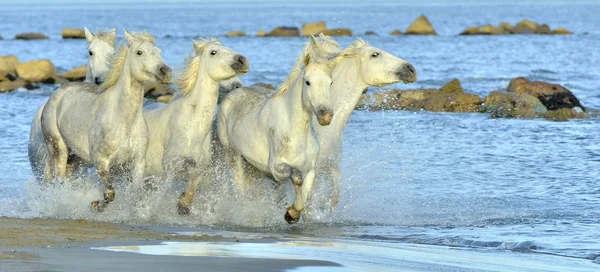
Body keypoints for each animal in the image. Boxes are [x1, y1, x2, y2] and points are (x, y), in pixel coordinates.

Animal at [41, 30, 171, 211]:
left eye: (159, 52)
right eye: (139, 52)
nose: (166, 72)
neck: (124, 120)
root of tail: (57, 93)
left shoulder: (137, 162)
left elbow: (136, 192)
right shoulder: (101, 162)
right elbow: (110, 193)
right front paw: (95, 205)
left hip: (78, 157)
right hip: (57, 149)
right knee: (59, 180)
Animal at [143, 38, 248, 215]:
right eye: (213, 52)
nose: (242, 61)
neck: (193, 127)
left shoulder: (204, 169)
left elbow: (194, 178)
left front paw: (184, 204)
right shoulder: (172, 162)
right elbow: (191, 165)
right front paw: (183, 203)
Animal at [217, 35, 338, 224]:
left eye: (330, 82)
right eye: (308, 82)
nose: (325, 115)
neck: (297, 129)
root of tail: (232, 95)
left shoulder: (310, 170)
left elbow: (306, 195)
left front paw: (294, 213)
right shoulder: (277, 168)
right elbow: (296, 177)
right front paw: (291, 214)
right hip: (233, 156)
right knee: (239, 189)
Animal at [310, 38, 418, 210]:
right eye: (375, 54)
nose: (411, 69)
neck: (323, 132)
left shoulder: (325, 167)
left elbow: (333, 188)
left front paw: (323, 204)